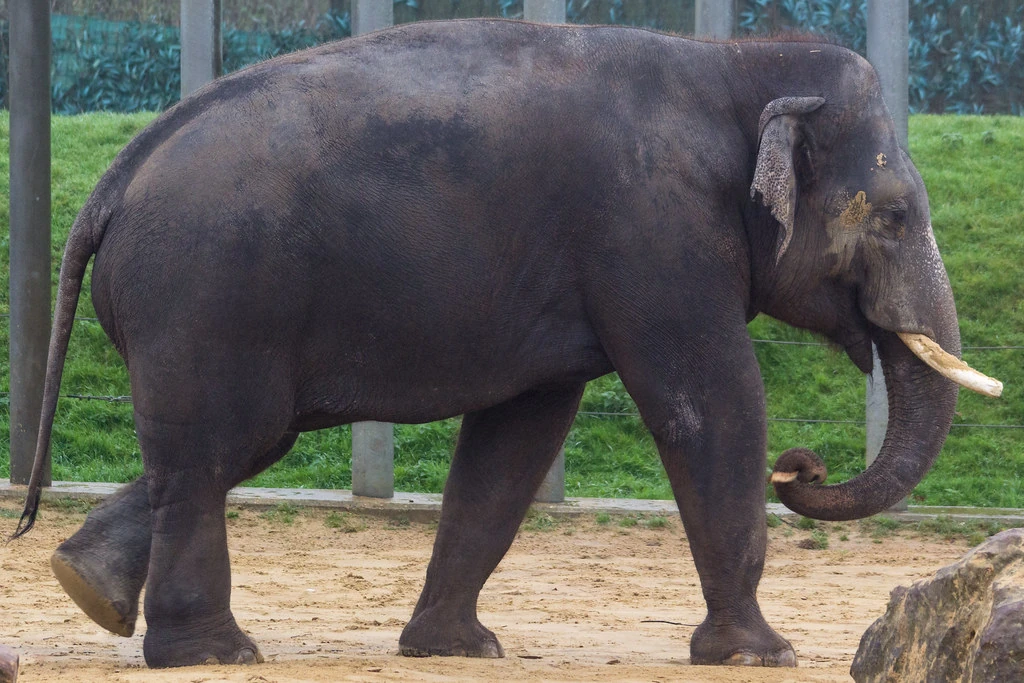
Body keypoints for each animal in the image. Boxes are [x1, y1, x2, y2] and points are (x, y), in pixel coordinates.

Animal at [13, 18, 1000, 669]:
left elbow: (519, 436)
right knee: (222, 450)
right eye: (896, 216)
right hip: (210, 298)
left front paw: (456, 648)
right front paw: (763, 655)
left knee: (217, 451)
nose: (802, 468)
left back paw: (85, 585)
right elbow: (710, 404)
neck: (737, 65)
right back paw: (215, 654)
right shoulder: (655, 233)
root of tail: (114, 182)